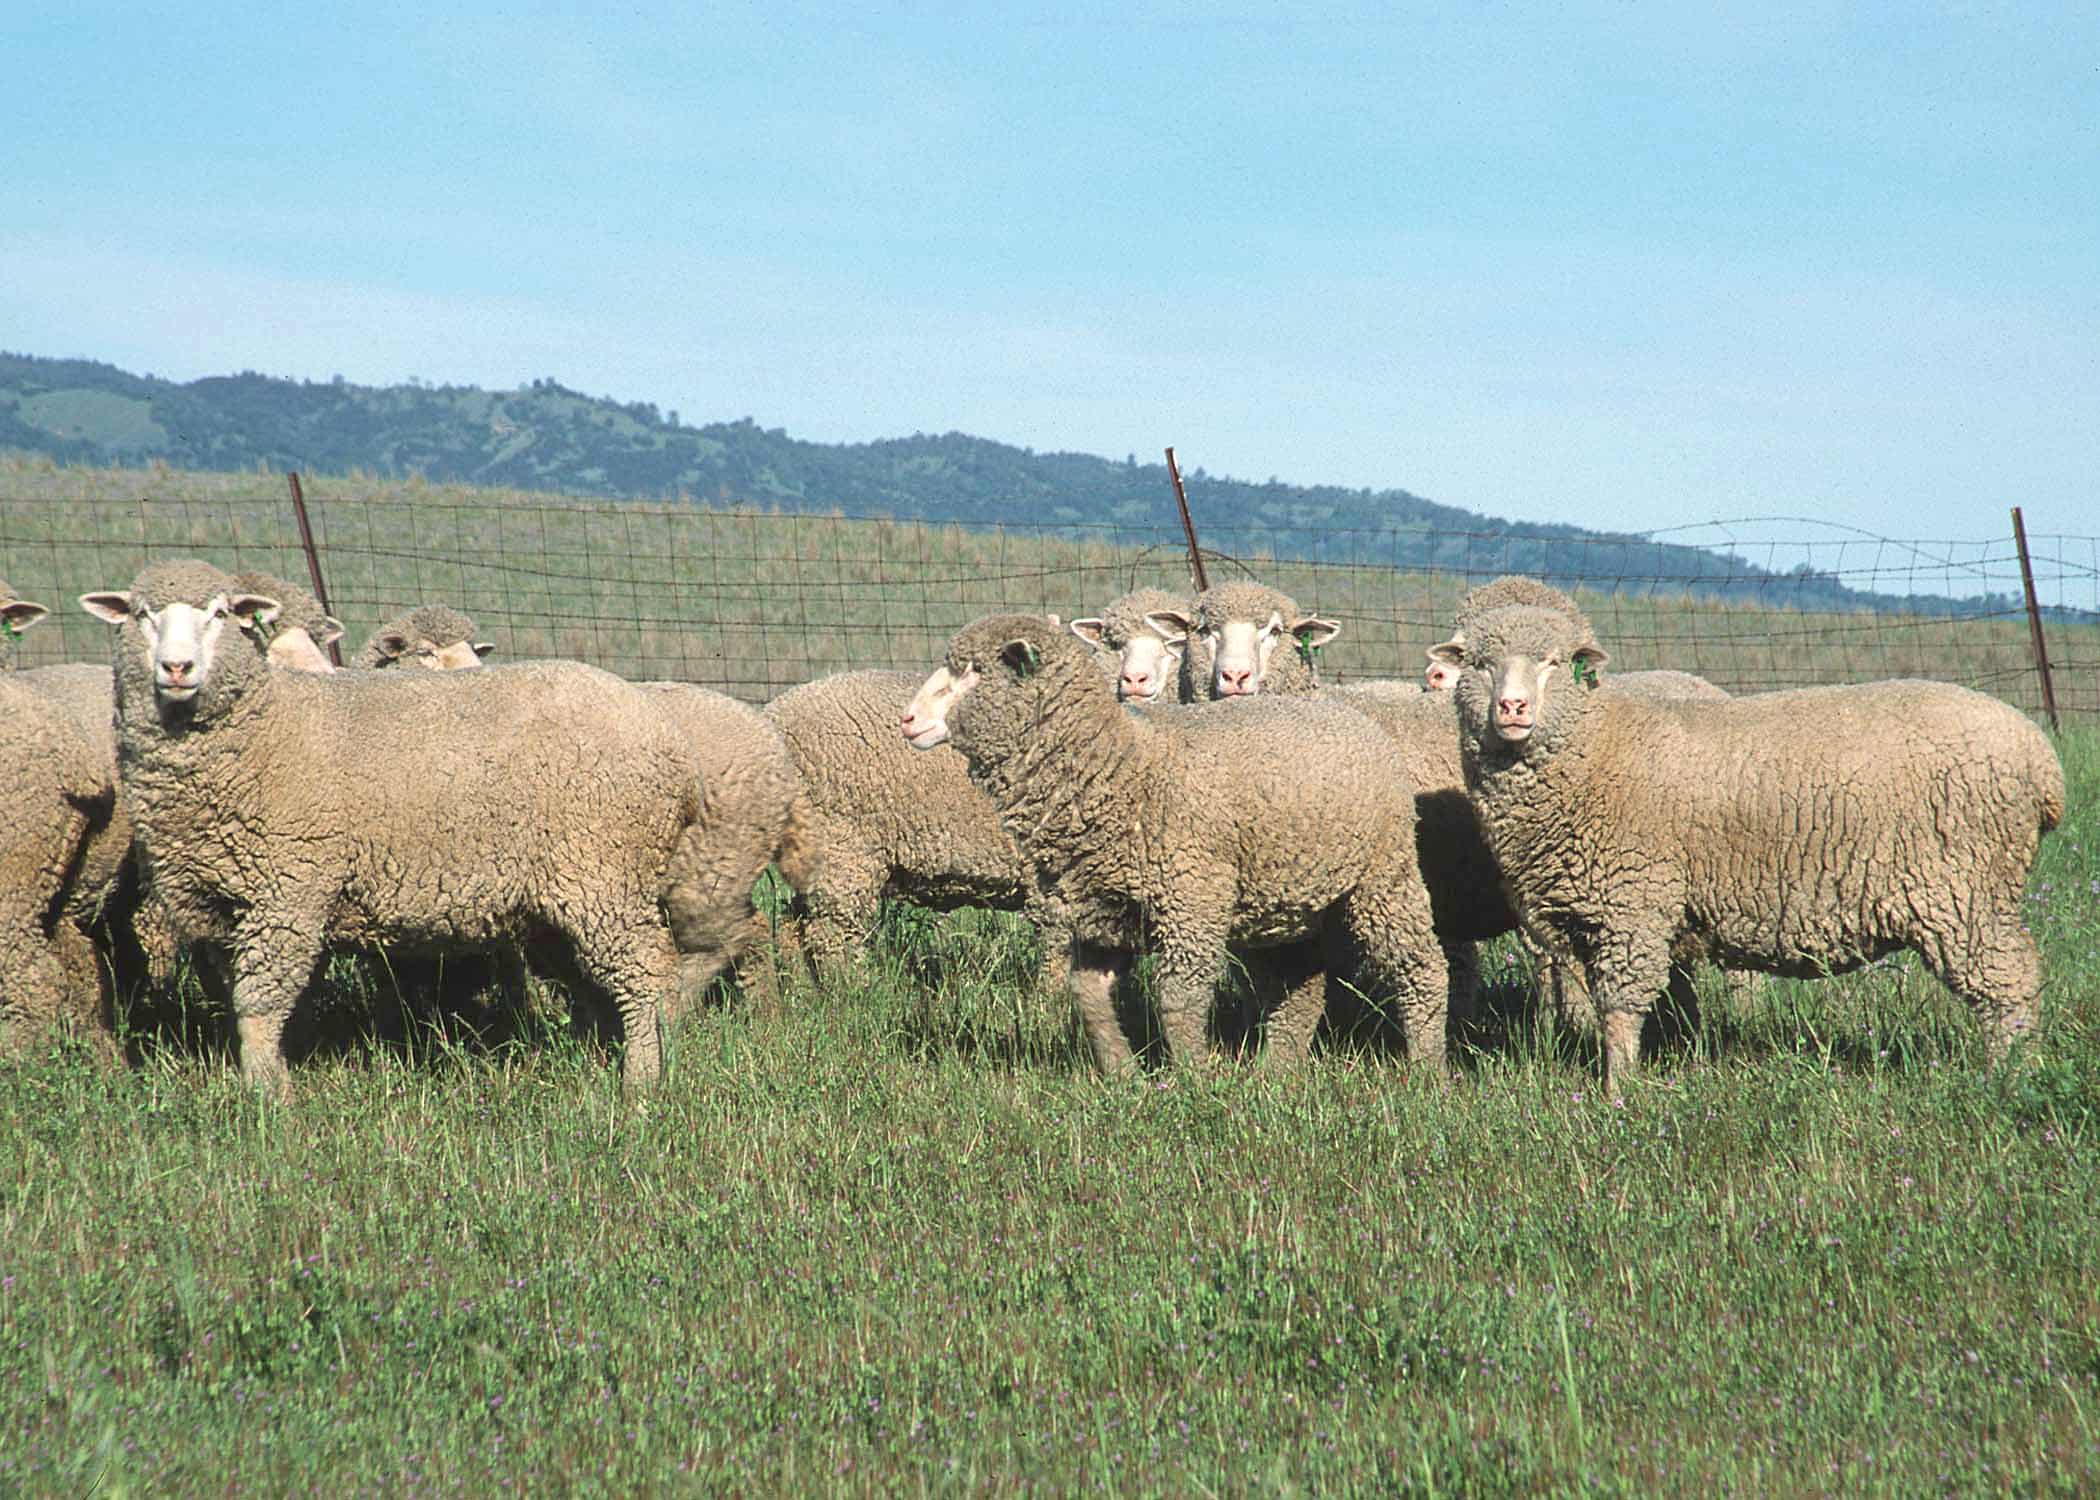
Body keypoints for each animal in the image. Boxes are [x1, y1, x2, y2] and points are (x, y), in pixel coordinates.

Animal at [765, 669, 1072, 993]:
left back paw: (803, 990)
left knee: (793, 922)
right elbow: (1060, 941)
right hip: (842, 846)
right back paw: (855, 991)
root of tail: (773, 715)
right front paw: (1054, 998)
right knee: (829, 931)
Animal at [902, 615, 1447, 1073]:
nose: (908, 720)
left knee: (1423, 968)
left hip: (1384, 876)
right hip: (1286, 902)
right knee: (1301, 989)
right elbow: (1089, 995)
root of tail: (1348, 714)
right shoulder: (1103, 911)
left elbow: (1178, 998)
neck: (1121, 768)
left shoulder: (1192, 900)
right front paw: (1123, 1076)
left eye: (975, 672)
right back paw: (1277, 1075)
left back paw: (1426, 1071)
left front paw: (1193, 1080)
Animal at [1429, 597, 2066, 1090]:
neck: (1595, 748)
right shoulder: (1585, 914)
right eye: (1481, 664)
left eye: (1553, 663)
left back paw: (2012, 1077)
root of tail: (2040, 755)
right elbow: (1610, 1002)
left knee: (2011, 982)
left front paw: (1617, 1091)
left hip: (1964, 892)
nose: (1512, 708)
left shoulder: (1633, 907)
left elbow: (1620, 1008)